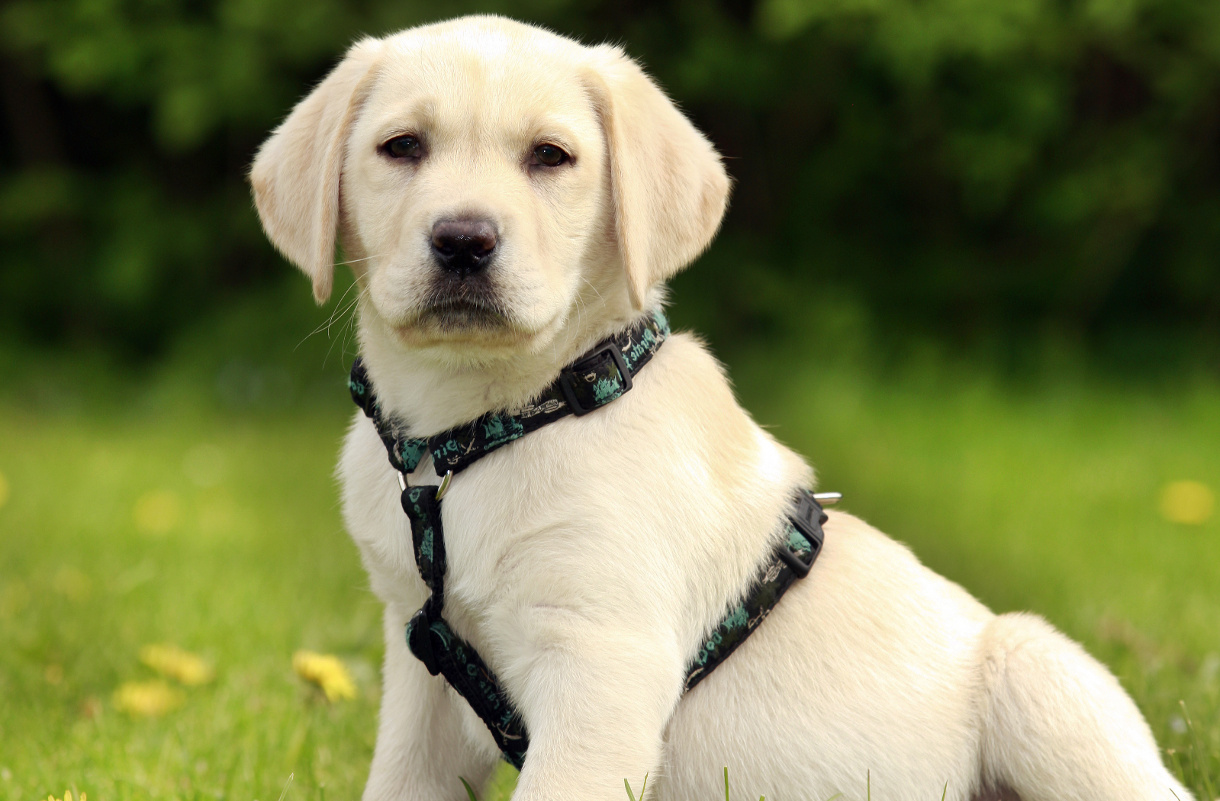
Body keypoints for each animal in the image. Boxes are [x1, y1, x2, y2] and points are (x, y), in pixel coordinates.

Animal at [252, 14, 1195, 799]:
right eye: (401, 146)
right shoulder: (423, 669)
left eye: (551, 156)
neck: (481, 431)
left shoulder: (601, 666)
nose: (463, 239)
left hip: (1040, 677)